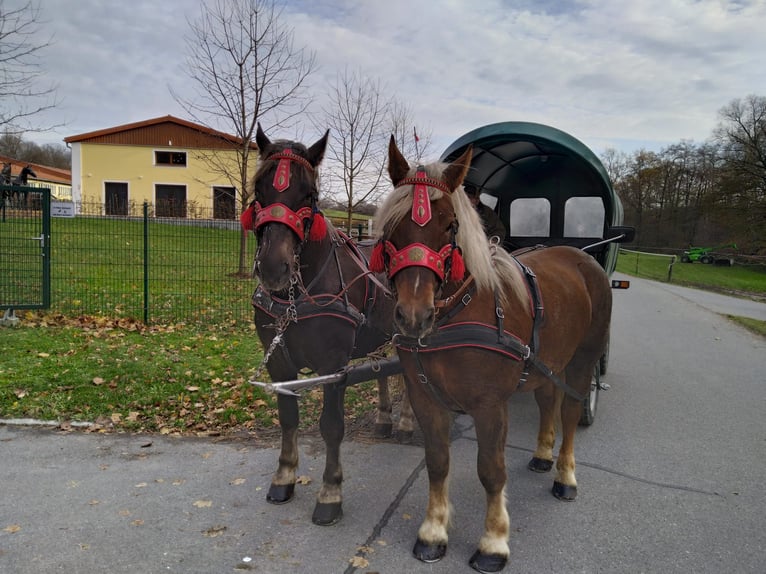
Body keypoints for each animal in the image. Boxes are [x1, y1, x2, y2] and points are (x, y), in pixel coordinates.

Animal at [246, 128, 414, 528]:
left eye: (310, 194)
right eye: (259, 188)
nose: (274, 267)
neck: (297, 294)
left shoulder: (332, 367)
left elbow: (331, 426)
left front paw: (330, 493)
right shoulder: (280, 365)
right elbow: (288, 418)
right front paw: (284, 476)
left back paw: (404, 423)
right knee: (385, 368)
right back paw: (385, 419)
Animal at [368, 137, 616, 572]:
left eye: (450, 224)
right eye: (392, 224)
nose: (414, 315)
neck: (459, 312)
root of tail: (581, 256)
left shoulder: (490, 406)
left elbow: (491, 471)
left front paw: (493, 542)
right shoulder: (425, 398)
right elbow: (438, 461)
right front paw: (433, 532)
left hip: (582, 360)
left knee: (570, 411)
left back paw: (565, 476)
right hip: (546, 362)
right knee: (547, 400)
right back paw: (542, 453)